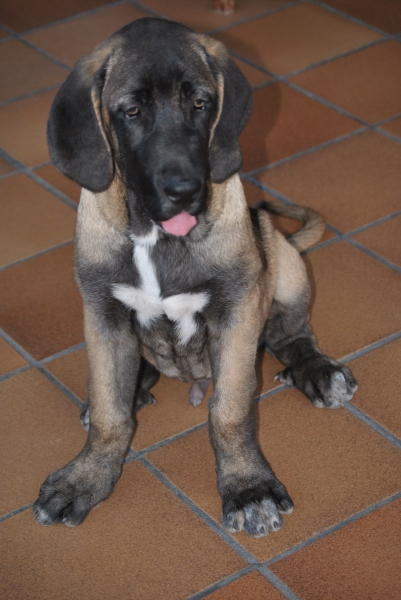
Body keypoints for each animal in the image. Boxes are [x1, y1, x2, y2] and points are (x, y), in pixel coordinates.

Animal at [32, 18, 356, 536]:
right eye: (131, 111)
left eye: (201, 104)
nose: (185, 190)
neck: (156, 236)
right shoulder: (103, 313)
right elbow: (108, 411)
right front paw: (85, 477)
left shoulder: (238, 311)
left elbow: (229, 411)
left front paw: (247, 487)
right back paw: (136, 386)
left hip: (278, 253)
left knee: (293, 334)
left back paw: (318, 372)